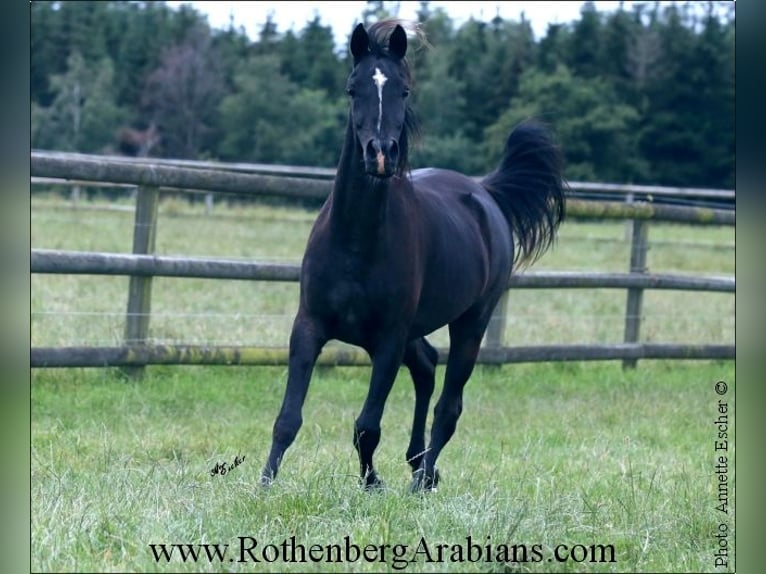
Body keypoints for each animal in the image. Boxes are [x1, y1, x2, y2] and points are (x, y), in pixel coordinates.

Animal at [260, 20, 568, 492]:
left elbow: (367, 425)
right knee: (426, 367)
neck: (355, 242)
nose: (380, 155)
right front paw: (264, 484)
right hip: (416, 332)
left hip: (470, 322)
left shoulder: (388, 339)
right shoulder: (308, 327)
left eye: (403, 91)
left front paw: (372, 483)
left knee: (448, 405)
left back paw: (422, 478)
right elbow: (288, 418)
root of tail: (485, 193)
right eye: (352, 88)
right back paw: (419, 463)